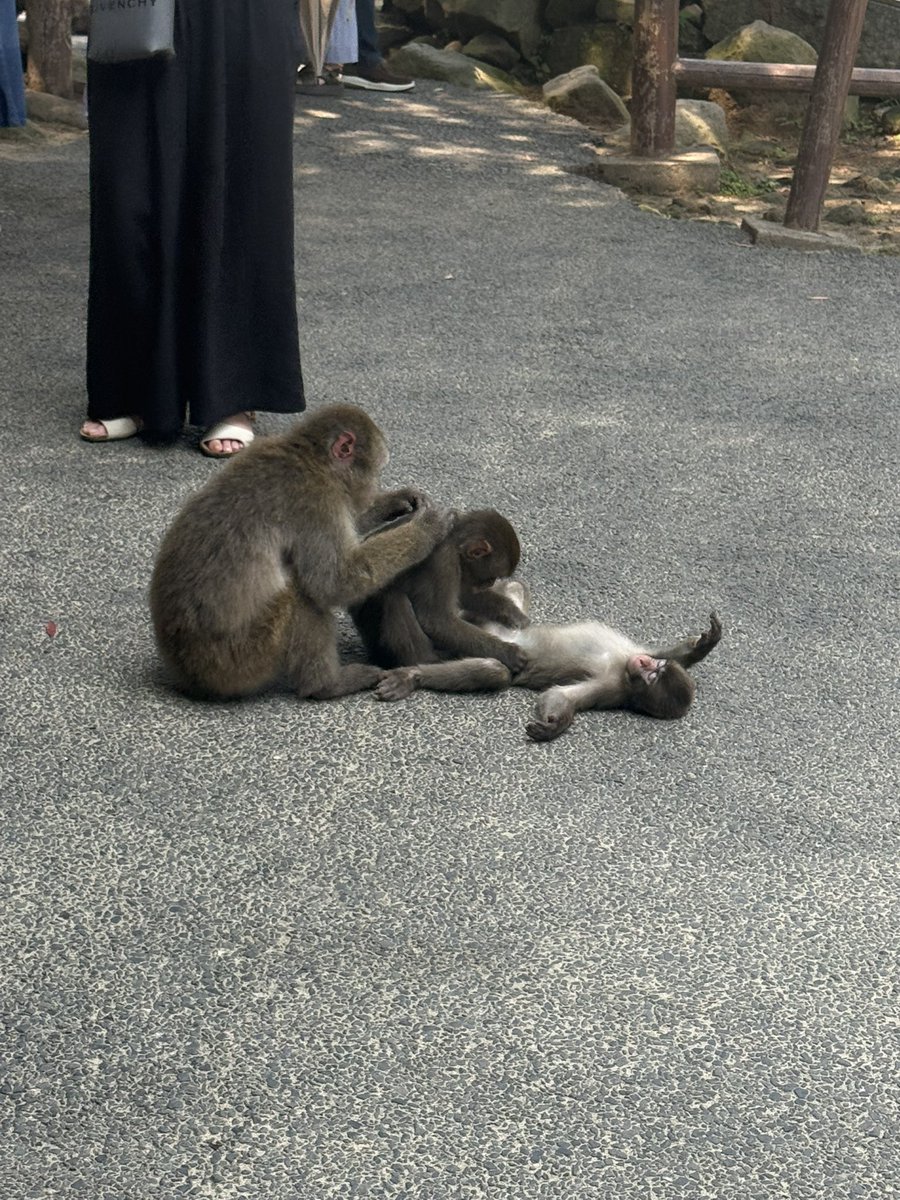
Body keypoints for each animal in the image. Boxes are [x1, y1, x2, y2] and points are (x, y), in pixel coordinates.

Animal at [149, 404, 453, 700]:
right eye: (376, 471)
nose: (372, 490)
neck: (311, 459)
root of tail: (187, 675)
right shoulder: (316, 500)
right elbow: (335, 581)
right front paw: (426, 528)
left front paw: (397, 501)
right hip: (242, 660)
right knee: (303, 594)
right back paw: (326, 685)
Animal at [349, 509, 529, 674]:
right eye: (490, 578)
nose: (489, 584)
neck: (454, 542)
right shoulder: (442, 560)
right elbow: (436, 620)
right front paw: (508, 653)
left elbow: (465, 594)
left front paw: (513, 614)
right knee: (393, 598)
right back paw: (426, 660)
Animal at [375, 580, 722, 742]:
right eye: (654, 670)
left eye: (652, 679)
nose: (644, 665)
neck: (626, 673)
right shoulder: (633, 659)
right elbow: (667, 653)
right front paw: (704, 645)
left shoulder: (614, 687)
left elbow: (561, 696)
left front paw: (554, 726)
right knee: (512, 589)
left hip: (489, 642)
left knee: (494, 670)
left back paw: (413, 674)